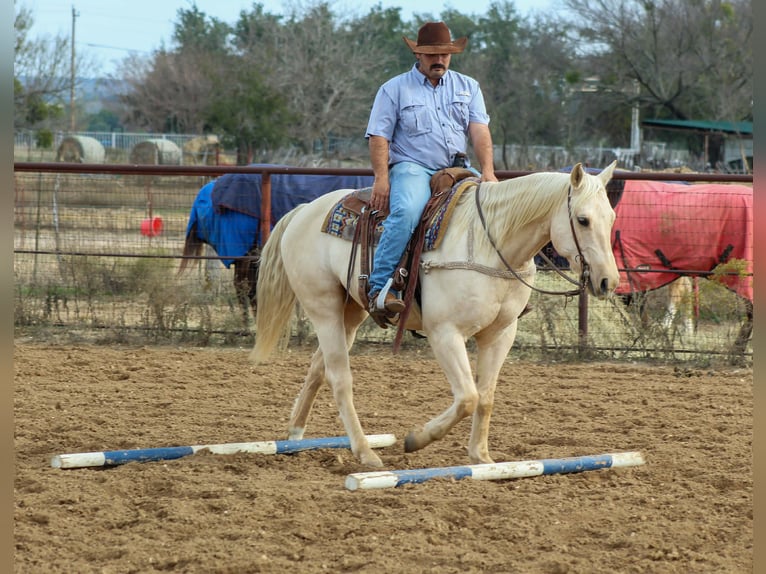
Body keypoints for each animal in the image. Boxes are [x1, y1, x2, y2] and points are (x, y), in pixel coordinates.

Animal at [250, 161, 620, 468]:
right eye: (582, 219)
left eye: (612, 218)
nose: (609, 281)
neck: (488, 244)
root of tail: (304, 211)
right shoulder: (445, 333)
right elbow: (468, 397)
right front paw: (417, 439)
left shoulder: (500, 335)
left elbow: (485, 397)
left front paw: (481, 457)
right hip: (323, 307)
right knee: (340, 378)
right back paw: (365, 452)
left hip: (351, 312)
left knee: (319, 367)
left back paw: (295, 434)